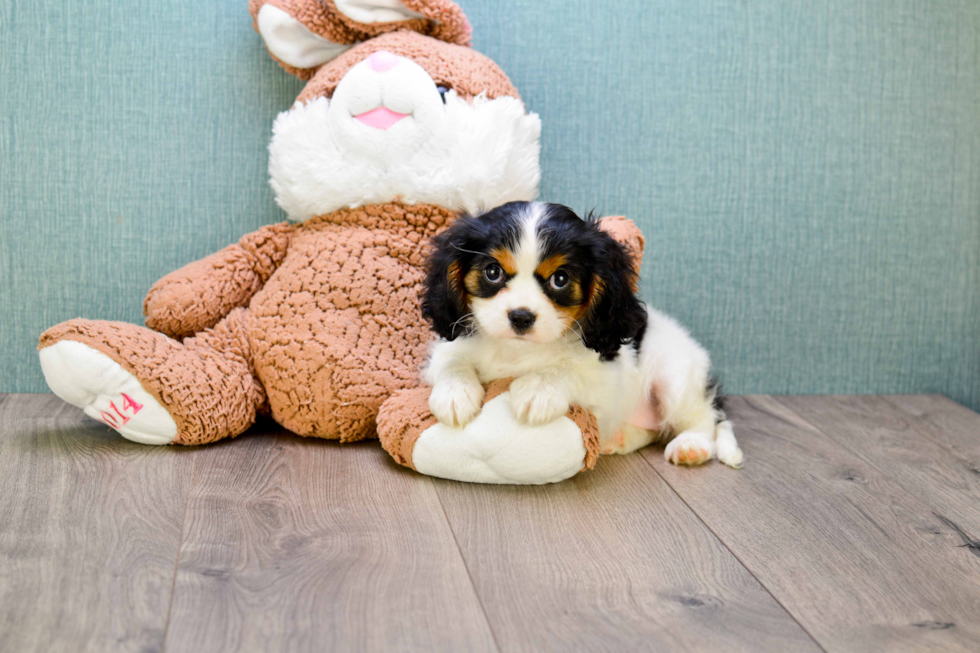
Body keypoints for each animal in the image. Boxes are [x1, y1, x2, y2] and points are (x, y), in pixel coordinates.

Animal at [420, 201, 744, 466]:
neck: (519, 349)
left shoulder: (605, 375)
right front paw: (455, 395)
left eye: (560, 279)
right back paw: (619, 438)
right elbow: (453, 361)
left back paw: (691, 445)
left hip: (675, 376)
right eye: (492, 272)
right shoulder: (447, 347)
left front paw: (538, 390)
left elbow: (567, 370)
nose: (521, 317)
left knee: (705, 420)